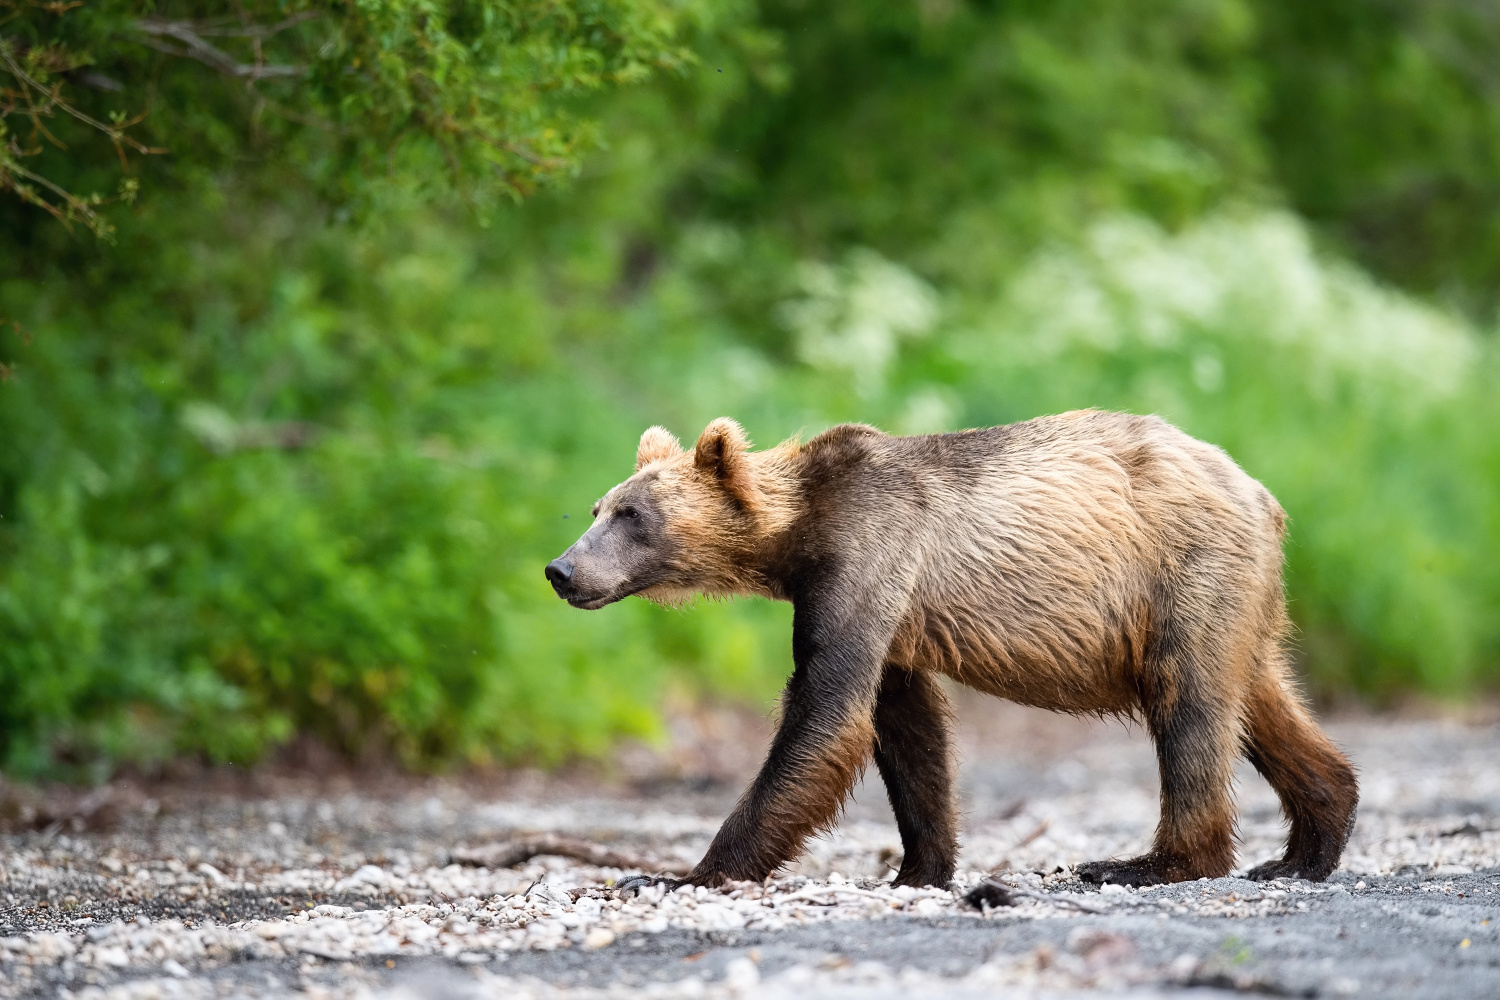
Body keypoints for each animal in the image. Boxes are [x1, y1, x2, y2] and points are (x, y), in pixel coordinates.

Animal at [543, 410, 1362, 887]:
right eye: (597, 508)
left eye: (633, 516)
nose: (561, 570)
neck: (798, 536)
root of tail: (1262, 493)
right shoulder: (888, 615)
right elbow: (907, 729)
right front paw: (922, 866)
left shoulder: (867, 556)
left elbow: (824, 714)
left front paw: (681, 874)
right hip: (1238, 599)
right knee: (1258, 700)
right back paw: (1304, 846)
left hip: (1183, 573)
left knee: (1188, 707)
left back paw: (1146, 863)